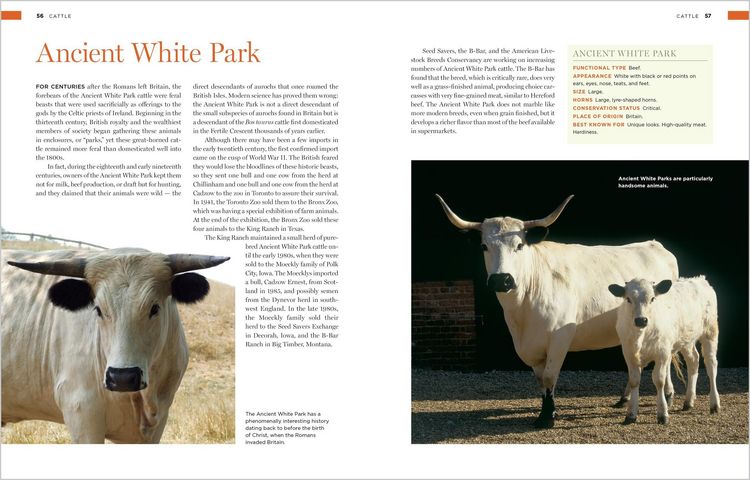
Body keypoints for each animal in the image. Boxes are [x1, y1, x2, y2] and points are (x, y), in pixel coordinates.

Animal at [435, 194, 679, 428]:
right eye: (484, 246)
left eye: (519, 245)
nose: (501, 280)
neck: (523, 308)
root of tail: (655, 244)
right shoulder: (529, 346)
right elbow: (540, 380)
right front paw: (546, 410)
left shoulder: (560, 338)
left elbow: (550, 377)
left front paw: (546, 418)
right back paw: (624, 398)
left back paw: (667, 395)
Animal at [608, 276, 720, 425]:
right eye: (628, 299)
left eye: (652, 298)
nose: (641, 320)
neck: (641, 336)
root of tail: (700, 279)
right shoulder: (629, 353)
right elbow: (634, 381)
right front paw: (631, 414)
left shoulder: (662, 353)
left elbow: (659, 380)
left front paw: (663, 414)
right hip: (686, 340)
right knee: (693, 361)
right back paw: (688, 401)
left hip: (710, 332)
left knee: (711, 365)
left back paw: (714, 404)